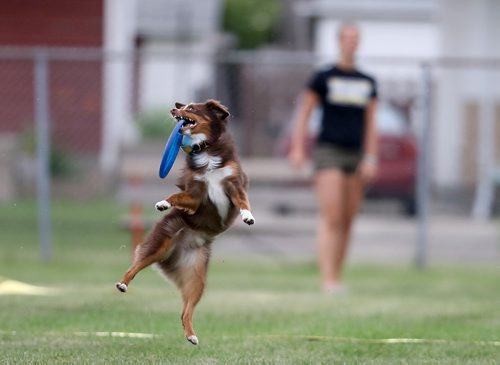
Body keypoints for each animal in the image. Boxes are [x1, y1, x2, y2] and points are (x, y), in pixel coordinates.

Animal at [115, 99, 256, 344]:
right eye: (183, 106)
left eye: (191, 109)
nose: (173, 109)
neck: (206, 149)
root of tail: (178, 249)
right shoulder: (195, 194)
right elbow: (177, 196)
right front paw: (163, 203)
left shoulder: (234, 184)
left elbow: (243, 201)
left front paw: (248, 216)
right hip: (160, 243)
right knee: (136, 265)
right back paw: (123, 283)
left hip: (197, 278)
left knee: (185, 311)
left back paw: (191, 335)